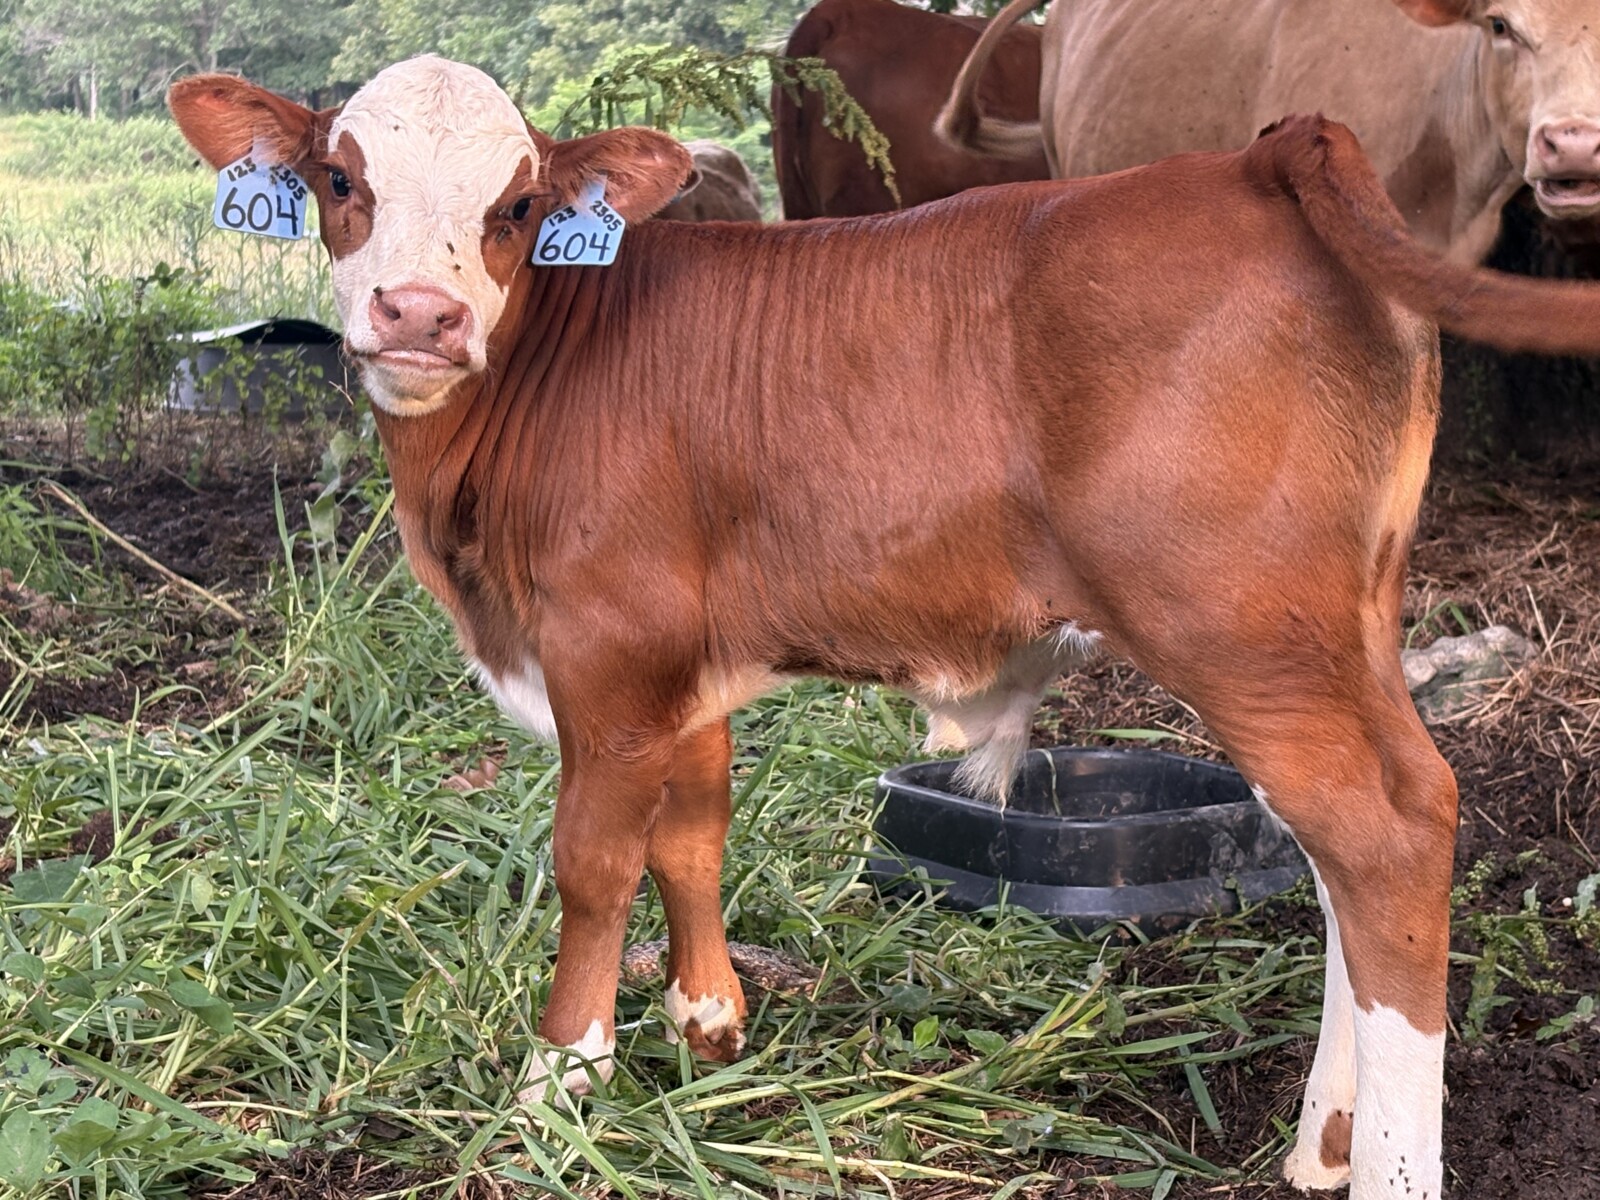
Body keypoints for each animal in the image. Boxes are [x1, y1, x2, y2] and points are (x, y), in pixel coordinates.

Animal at [169, 55, 1600, 1200]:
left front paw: (558, 1082)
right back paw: (1324, 1143)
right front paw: (707, 1028)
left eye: (516, 209)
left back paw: (1385, 1168)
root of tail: (1254, 155)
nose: (421, 314)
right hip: (1335, 627)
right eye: (339, 179)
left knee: (1381, 838)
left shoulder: (606, 651)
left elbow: (593, 862)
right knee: (1353, 847)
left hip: (1242, 625)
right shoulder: (684, 664)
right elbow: (692, 832)